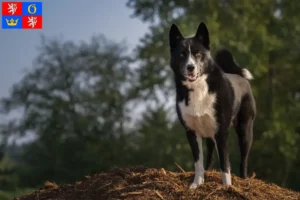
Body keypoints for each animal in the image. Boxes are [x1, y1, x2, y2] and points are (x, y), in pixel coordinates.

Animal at [169, 22, 255, 189]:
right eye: (182, 54)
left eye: (197, 53)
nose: (190, 67)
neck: (198, 88)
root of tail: (240, 78)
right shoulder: (191, 132)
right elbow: (198, 162)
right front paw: (196, 184)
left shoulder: (221, 132)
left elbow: (225, 163)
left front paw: (227, 187)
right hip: (209, 133)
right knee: (209, 156)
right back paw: (208, 172)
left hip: (245, 130)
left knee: (244, 158)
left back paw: (244, 179)